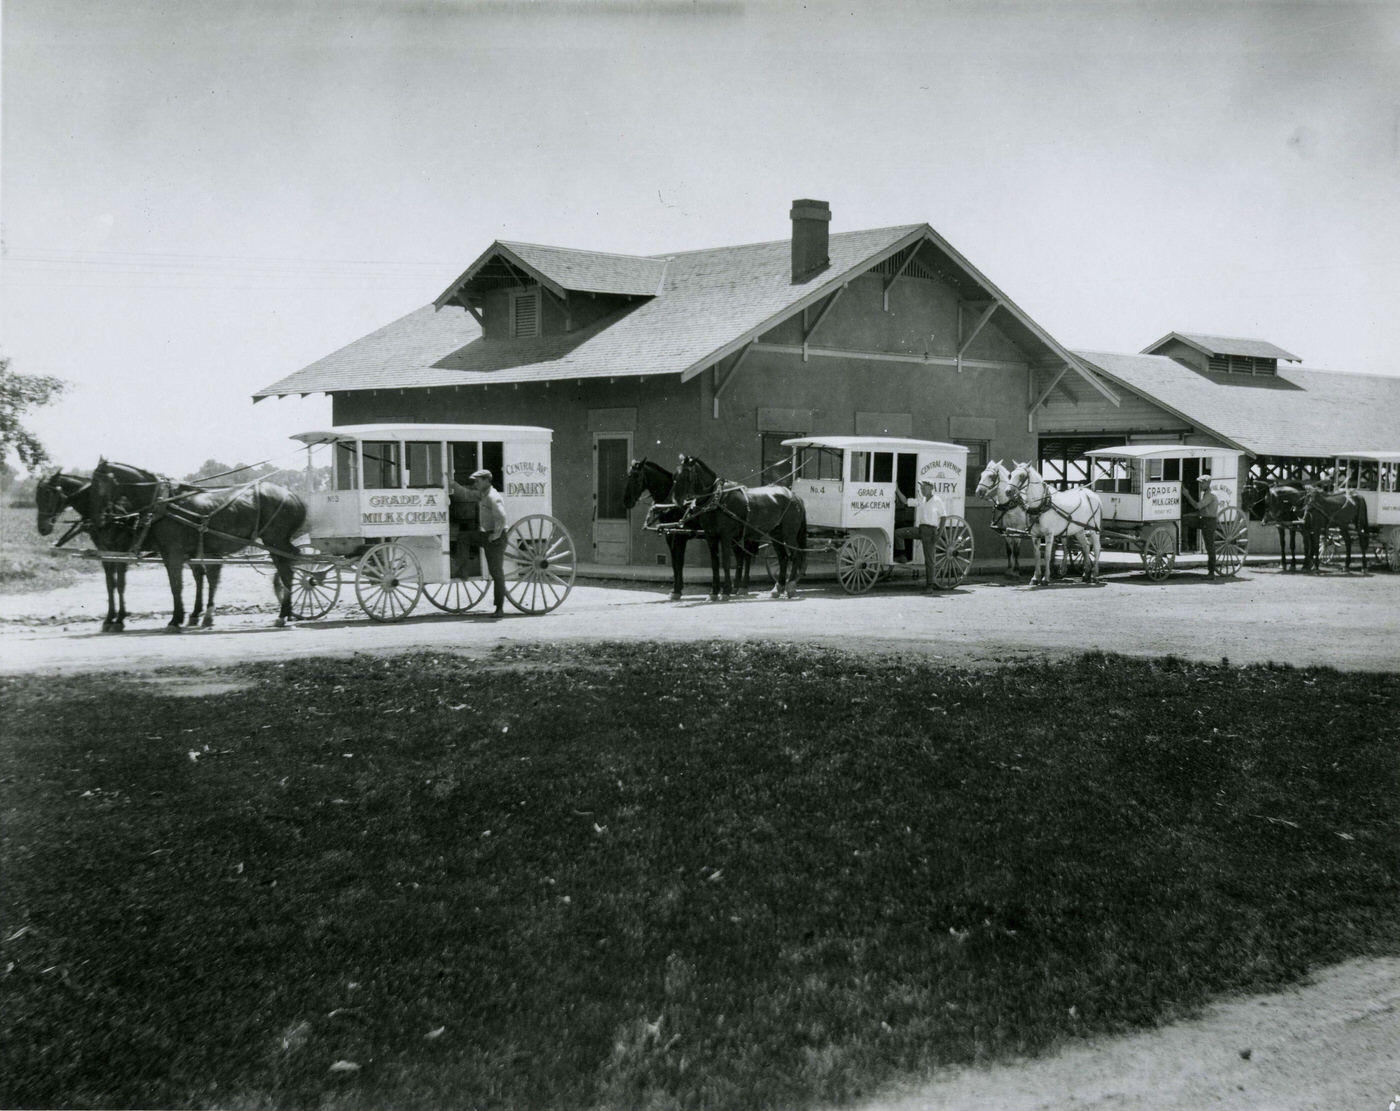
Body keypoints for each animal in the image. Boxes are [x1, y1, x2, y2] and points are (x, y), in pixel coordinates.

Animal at [34, 470, 145, 632]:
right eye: (36, 497)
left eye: (48, 494)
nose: (42, 529)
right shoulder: (104, 551)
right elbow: (110, 584)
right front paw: (109, 618)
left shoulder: (121, 551)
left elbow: (120, 584)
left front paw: (120, 619)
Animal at [91, 456, 309, 626]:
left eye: (96, 483)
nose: (99, 520)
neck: (164, 503)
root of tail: (293, 495)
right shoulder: (173, 553)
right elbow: (189, 581)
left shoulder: (174, 552)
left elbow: (176, 584)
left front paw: (176, 619)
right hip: (277, 542)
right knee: (289, 568)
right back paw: (287, 613)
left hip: (275, 541)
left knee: (287, 571)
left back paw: (284, 614)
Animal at [621, 456, 761, 601]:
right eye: (628, 475)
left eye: (637, 476)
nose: (626, 500)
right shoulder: (669, 535)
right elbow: (674, 563)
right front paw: (676, 588)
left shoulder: (680, 536)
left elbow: (679, 562)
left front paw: (677, 590)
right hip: (735, 537)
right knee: (740, 557)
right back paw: (735, 587)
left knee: (746, 556)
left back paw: (743, 587)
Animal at [669, 453, 812, 601]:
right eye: (674, 476)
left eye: (686, 475)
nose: (676, 500)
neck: (717, 498)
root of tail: (794, 495)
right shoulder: (711, 535)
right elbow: (715, 563)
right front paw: (714, 592)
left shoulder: (726, 535)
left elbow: (726, 561)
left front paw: (726, 590)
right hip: (775, 534)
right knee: (783, 558)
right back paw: (778, 588)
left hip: (789, 533)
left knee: (795, 555)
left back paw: (791, 586)